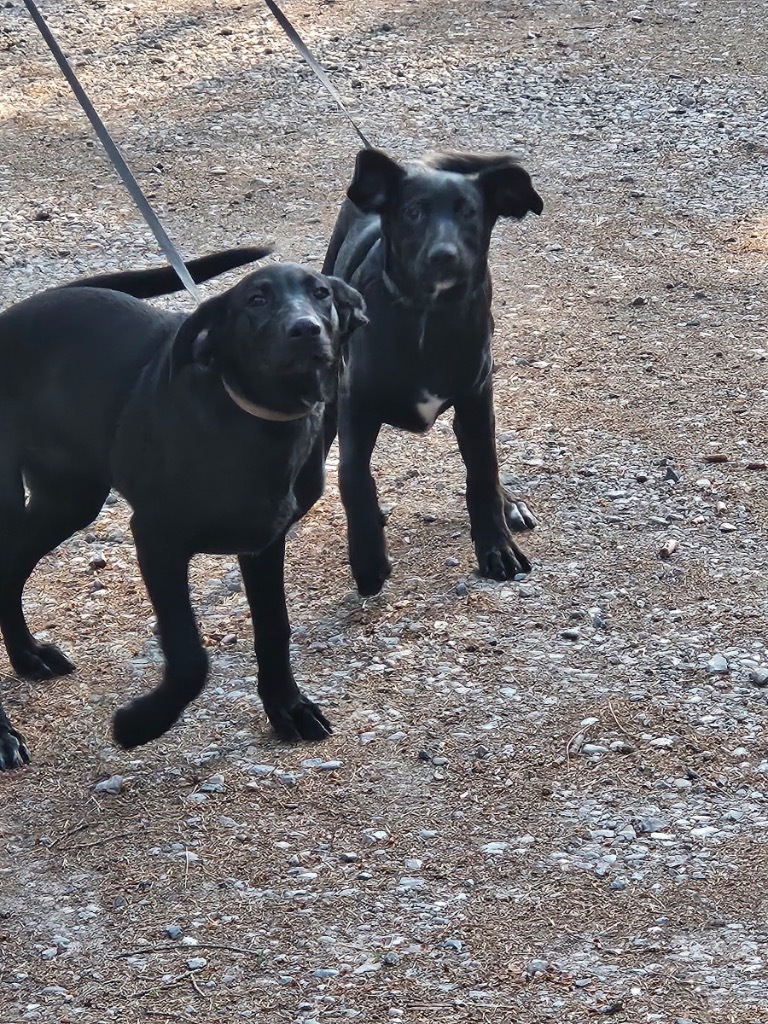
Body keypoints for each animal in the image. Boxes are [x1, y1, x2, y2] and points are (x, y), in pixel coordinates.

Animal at [0, 247, 366, 770]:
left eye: (321, 294)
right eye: (256, 300)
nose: (306, 329)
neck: (252, 423)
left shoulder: (264, 542)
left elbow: (274, 629)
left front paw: (288, 707)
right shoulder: (157, 538)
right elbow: (191, 658)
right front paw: (139, 724)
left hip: (69, 498)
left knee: (10, 568)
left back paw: (28, 656)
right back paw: (3, 735)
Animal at [321, 148, 544, 598]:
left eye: (469, 212)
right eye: (413, 212)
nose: (444, 255)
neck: (429, 314)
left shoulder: (476, 400)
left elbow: (483, 473)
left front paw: (496, 548)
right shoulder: (355, 405)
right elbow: (352, 477)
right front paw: (368, 560)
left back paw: (509, 502)